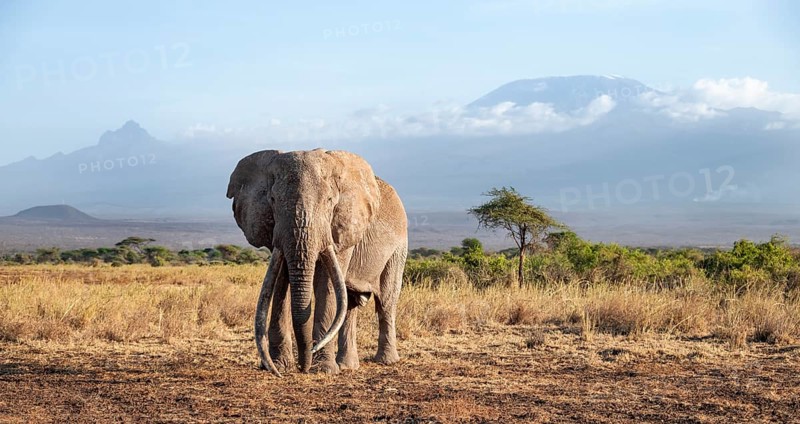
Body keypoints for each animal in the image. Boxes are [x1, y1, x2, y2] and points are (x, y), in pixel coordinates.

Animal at [227, 149, 408, 375]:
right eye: (273, 199)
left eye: (330, 200)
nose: (303, 366)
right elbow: (281, 279)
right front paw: (279, 366)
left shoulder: (342, 228)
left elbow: (325, 283)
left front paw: (323, 369)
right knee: (350, 305)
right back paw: (347, 366)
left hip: (398, 249)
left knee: (385, 301)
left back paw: (385, 361)